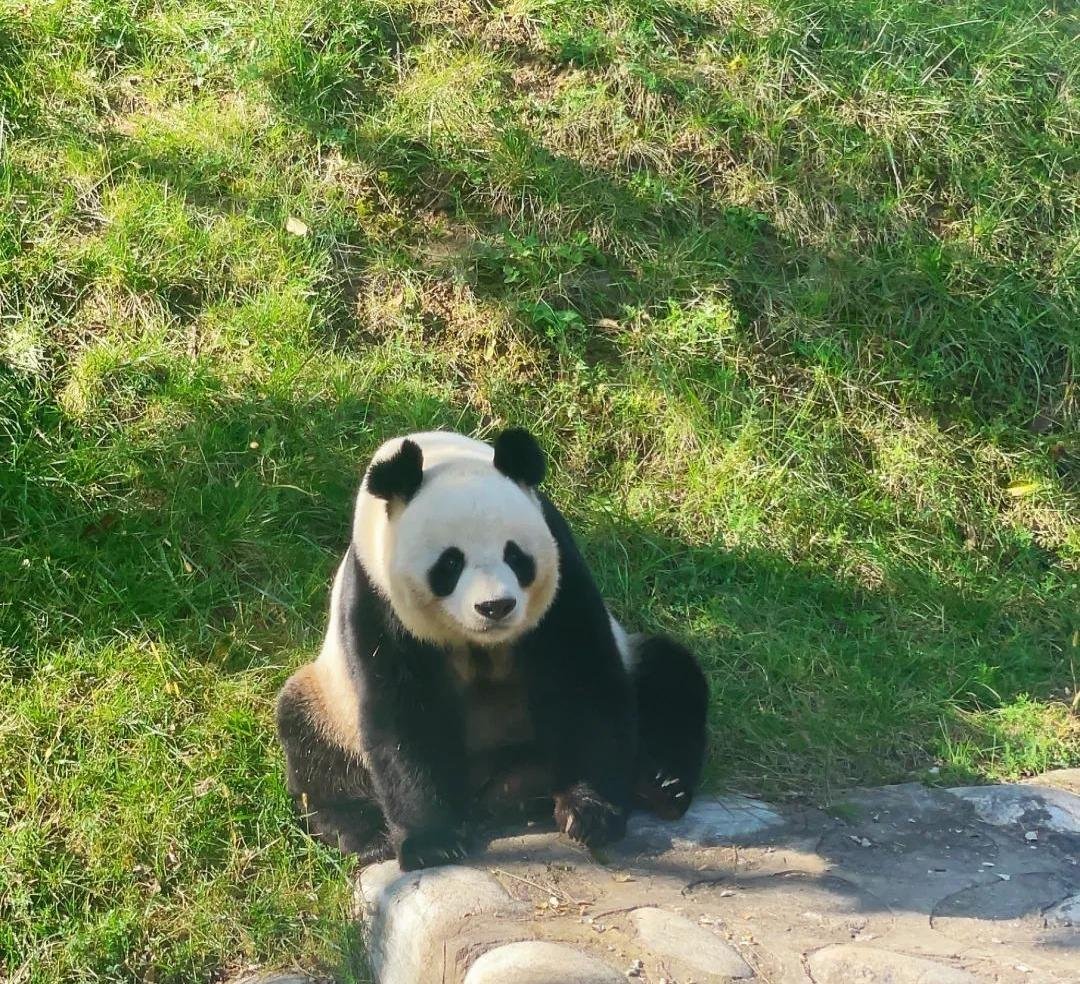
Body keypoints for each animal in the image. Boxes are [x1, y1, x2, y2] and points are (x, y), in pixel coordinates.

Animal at [276, 428, 708, 870]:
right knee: (310, 746)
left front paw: (589, 813)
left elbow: (584, 679)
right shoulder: (377, 597)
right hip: (329, 702)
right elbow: (403, 714)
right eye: (450, 563)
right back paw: (369, 835)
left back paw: (659, 785)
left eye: (514, 555)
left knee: (668, 679)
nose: (495, 606)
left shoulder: (562, 570)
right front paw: (432, 842)